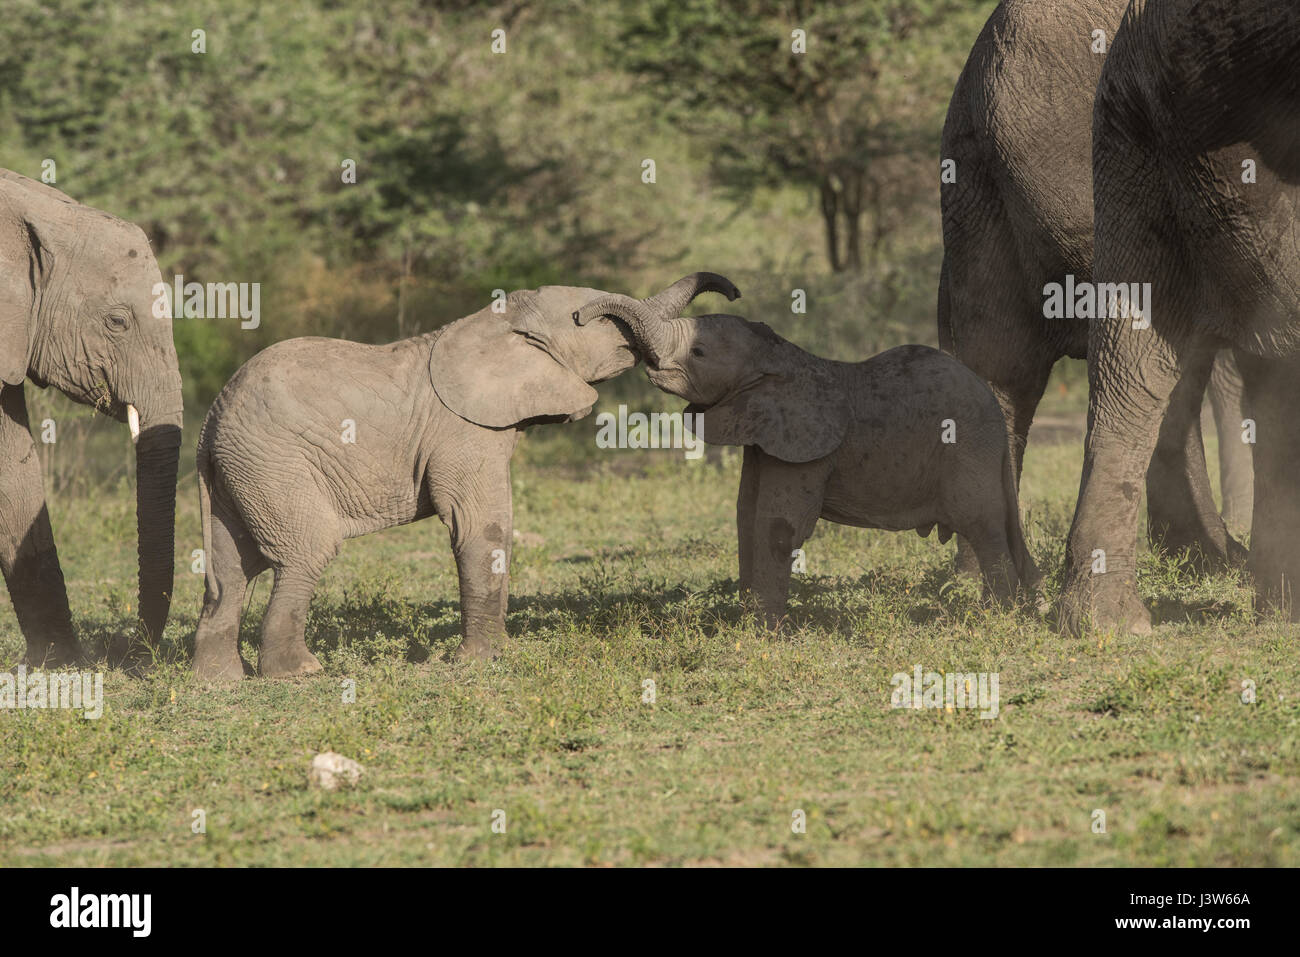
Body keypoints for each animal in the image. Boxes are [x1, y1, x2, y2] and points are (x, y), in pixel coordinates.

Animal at [191, 273, 740, 680]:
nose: (733, 292)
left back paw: (219, 681)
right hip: (274, 462)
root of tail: (209, 424)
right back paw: (298, 672)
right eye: (592, 319)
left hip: (242, 473)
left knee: (233, 569)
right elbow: (481, 524)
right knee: (306, 550)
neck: (496, 322)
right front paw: (487, 660)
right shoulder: (464, 429)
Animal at [574, 292, 1038, 627]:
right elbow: (746, 516)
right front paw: (748, 623)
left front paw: (763, 632)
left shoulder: (805, 448)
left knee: (982, 523)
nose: (578, 317)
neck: (780, 359)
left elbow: (779, 526)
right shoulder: (765, 438)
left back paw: (996, 617)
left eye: (700, 353)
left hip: (968, 448)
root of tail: (996, 411)